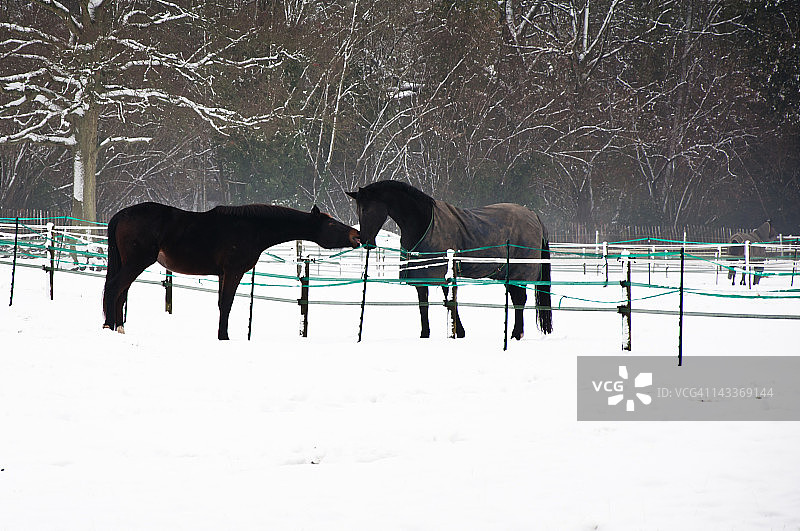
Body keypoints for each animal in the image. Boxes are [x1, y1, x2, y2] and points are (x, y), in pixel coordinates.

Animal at [102, 202, 360, 339]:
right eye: (331, 224)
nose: (356, 236)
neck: (251, 228)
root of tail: (121, 215)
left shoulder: (222, 274)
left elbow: (221, 305)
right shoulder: (233, 271)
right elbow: (227, 304)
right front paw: (224, 337)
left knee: (120, 292)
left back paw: (119, 328)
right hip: (136, 262)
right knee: (114, 288)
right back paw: (109, 326)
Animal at [347, 180, 552, 340]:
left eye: (366, 209)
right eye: (358, 210)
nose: (365, 242)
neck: (423, 223)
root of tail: (534, 216)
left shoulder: (444, 274)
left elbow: (450, 302)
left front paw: (458, 333)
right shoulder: (421, 277)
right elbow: (424, 306)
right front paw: (425, 335)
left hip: (520, 271)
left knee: (520, 300)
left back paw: (516, 335)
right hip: (508, 273)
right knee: (516, 298)